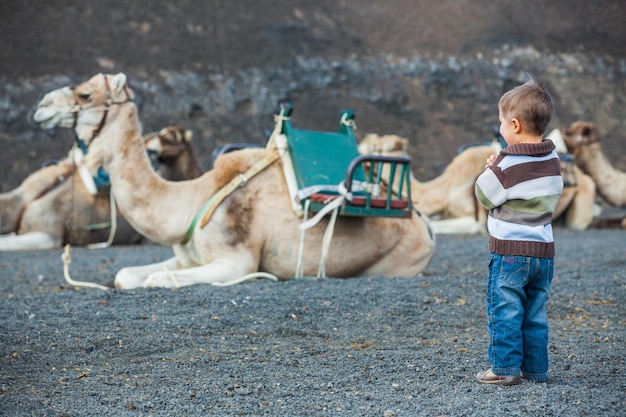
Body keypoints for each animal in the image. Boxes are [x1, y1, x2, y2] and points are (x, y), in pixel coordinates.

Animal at [33, 73, 434, 288]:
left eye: (85, 93)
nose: (41, 107)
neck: (190, 199)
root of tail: (424, 223)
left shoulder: (236, 260)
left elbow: (159, 280)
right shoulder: (186, 256)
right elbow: (125, 275)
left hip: (400, 263)